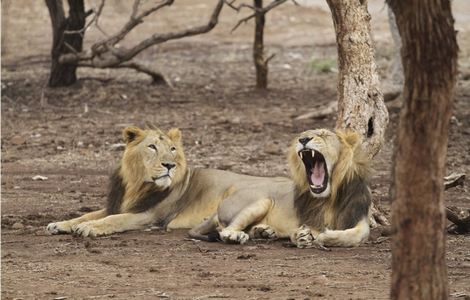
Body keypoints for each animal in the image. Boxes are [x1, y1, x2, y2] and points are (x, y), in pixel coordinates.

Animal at [48, 124, 298, 237]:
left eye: (172, 149)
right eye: (152, 147)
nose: (169, 165)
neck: (136, 184)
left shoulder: (149, 215)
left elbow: (114, 220)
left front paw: (89, 228)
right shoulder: (118, 204)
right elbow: (89, 214)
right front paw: (61, 224)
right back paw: (264, 231)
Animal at [190, 127, 370, 247]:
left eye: (323, 134)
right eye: (301, 135)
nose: (303, 140)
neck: (328, 197)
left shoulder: (359, 217)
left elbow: (358, 234)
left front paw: (326, 236)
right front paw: (303, 236)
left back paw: (263, 231)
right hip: (262, 200)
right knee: (226, 229)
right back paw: (235, 236)